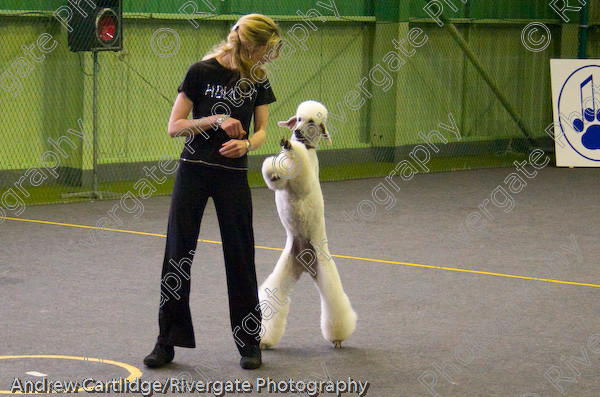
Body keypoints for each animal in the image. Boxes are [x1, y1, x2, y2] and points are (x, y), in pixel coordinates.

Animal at [258, 100, 356, 348]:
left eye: (312, 122)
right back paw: (264, 339)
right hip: (286, 268)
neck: (307, 149)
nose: (296, 133)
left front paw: (291, 148)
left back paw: (338, 337)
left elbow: (301, 181)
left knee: (333, 300)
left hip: (324, 269)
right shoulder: (282, 181)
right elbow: (276, 177)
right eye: (299, 119)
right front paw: (279, 161)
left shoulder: (305, 182)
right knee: (275, 295)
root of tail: (305, 261)